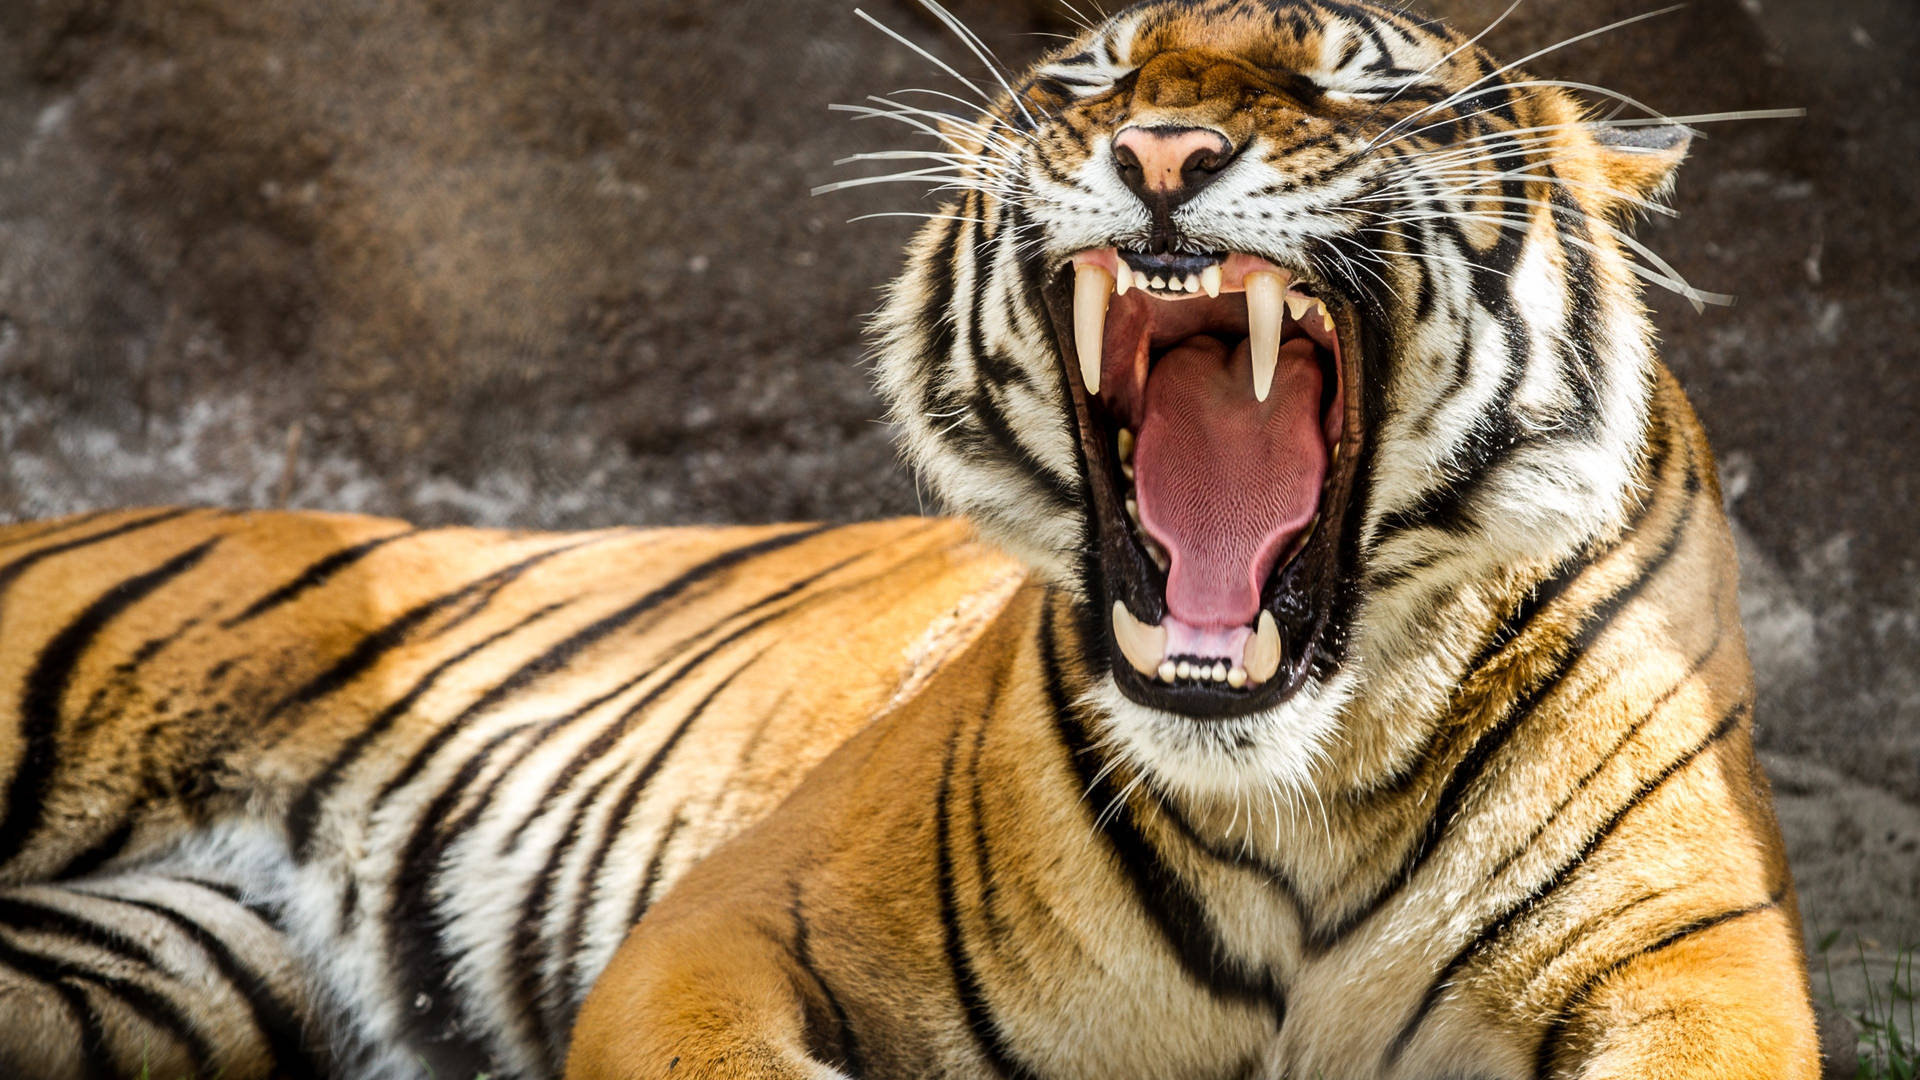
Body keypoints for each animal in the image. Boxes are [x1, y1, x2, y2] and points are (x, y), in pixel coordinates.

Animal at [0, 0, 1820, 1068]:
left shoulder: (1694, 962)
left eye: (1345, 78)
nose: (1161, 149)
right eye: (1093, 78)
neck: (1302, 780)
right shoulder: (719, 930)